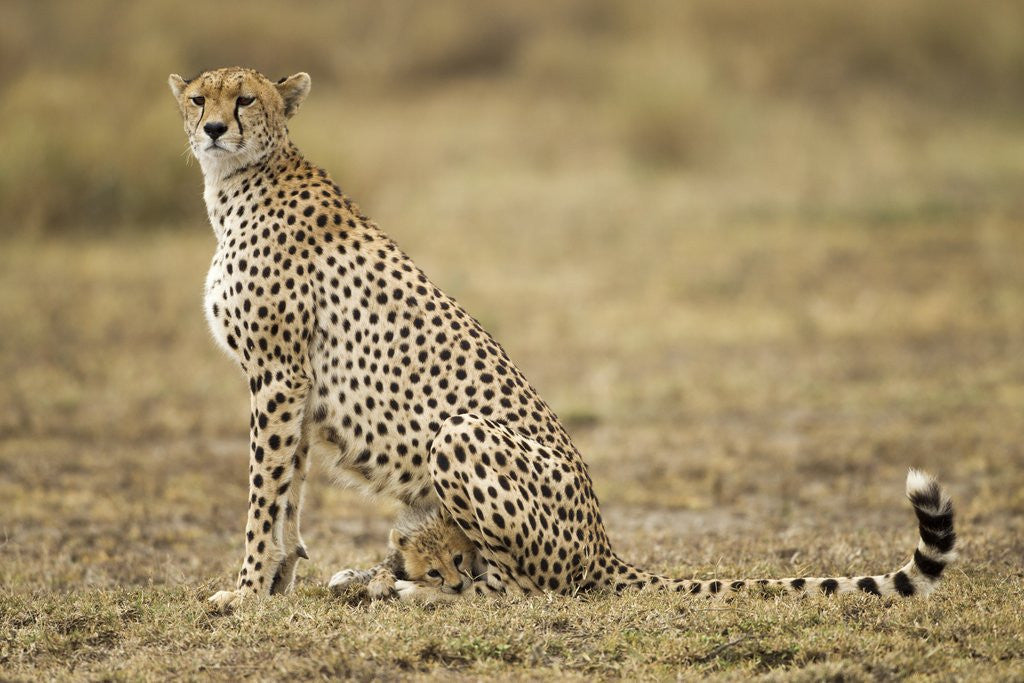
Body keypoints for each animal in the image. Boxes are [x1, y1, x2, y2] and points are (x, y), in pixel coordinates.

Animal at [168, 67, 957, 612]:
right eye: (198, 99)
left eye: (245, 100)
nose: (213, 130)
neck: (238, 184)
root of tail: (602, 542)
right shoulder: (289, 382)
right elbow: (287, 495)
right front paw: (275, 585)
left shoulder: (278, 372)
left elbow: (263, 493)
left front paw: (244, 591)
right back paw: (370, 576)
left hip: (460, 436)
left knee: (517, 589)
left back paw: (409, 589)